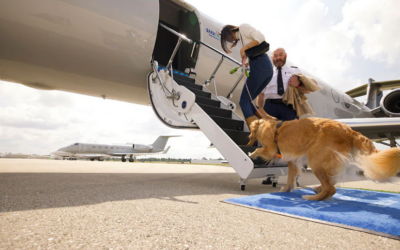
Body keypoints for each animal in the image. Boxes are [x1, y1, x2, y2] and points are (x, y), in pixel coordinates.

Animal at [247, 118, 400, 202]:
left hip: (316, 161)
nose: (248, 138)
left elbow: (260, 150)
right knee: (333, 180)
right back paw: (317, 189)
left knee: (331, 188)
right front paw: (287, 188)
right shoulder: (293, 161)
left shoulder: (270, 149)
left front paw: (251, 154)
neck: (269, 126)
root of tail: (350, 131)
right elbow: (291, 177)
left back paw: (313, 198)